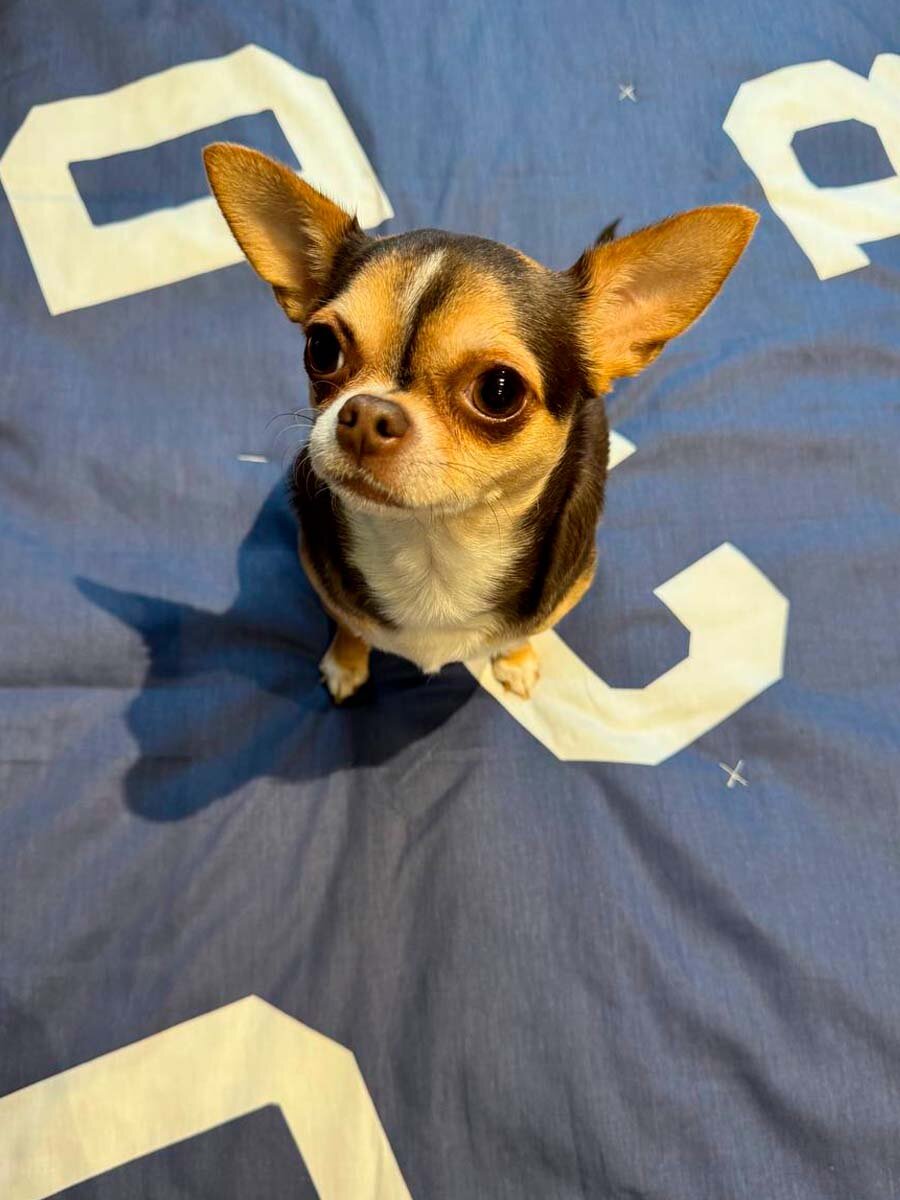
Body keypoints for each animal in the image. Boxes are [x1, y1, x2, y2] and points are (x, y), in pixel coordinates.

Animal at [204, 143, 756, 703]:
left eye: (499, 390)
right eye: (321, 348)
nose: (366, 415)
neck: (434, 549)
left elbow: (524, 631)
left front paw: (515, 659)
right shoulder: (322, 576)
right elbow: (350, 622)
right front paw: (346, 660)